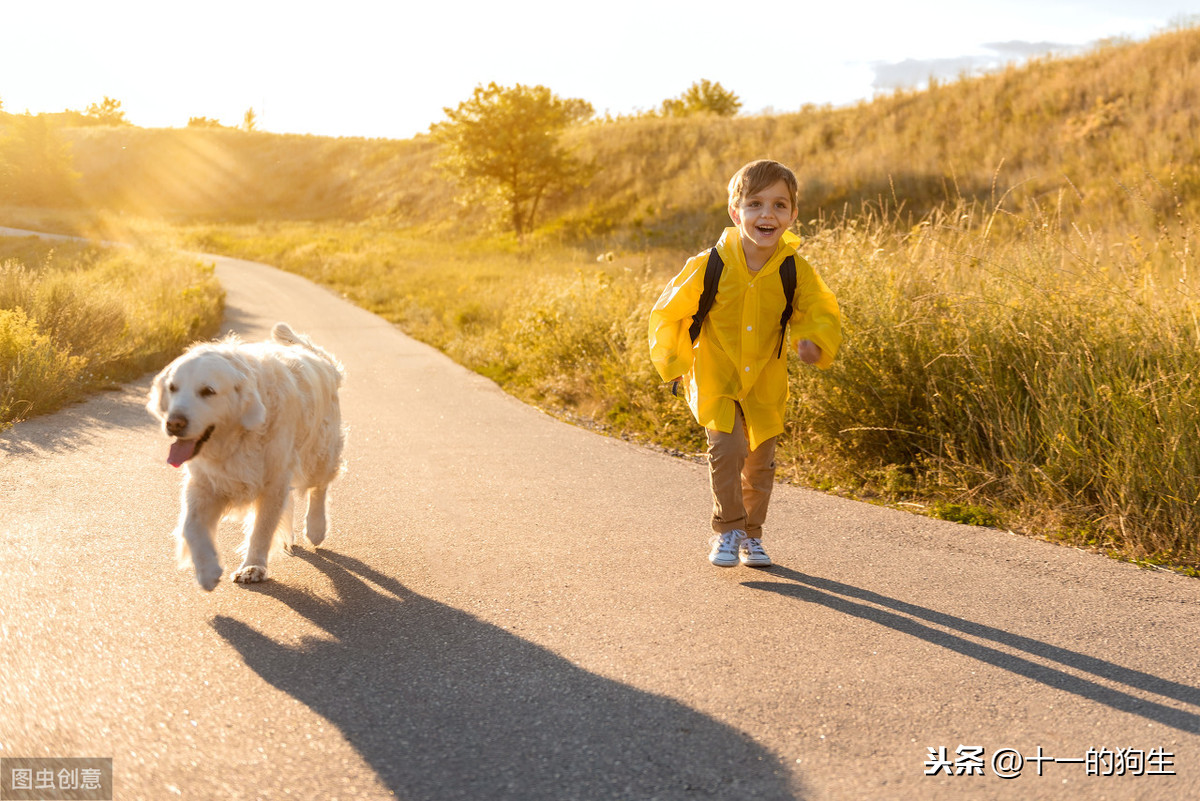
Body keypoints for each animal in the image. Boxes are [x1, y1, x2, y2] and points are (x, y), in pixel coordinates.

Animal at [148, 321, 348, 592]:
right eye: (173, 388)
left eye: (208, 391)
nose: (173, 423)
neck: (237, 436)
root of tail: (317, 356)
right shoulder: (204, 483)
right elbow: (191, 524)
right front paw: (207, 570)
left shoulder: (272, 481)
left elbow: (261, 529)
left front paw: (252, 567)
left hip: (320, 454)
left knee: (319, 488)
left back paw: (316, 528)